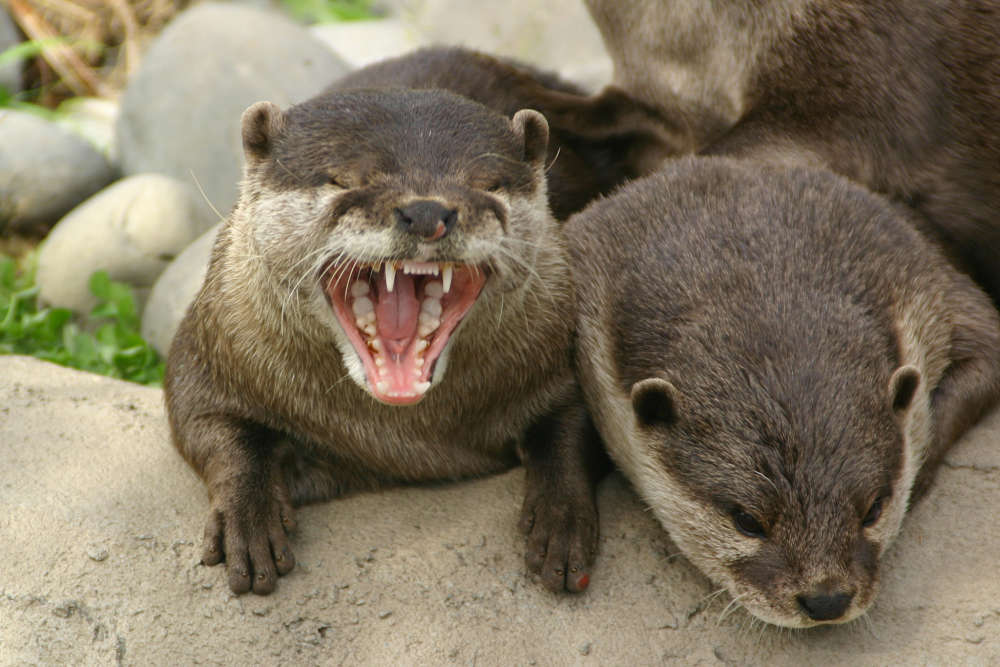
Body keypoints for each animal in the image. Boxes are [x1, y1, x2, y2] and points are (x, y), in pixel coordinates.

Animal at [164, 86, 609, 596]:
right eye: (341, 180)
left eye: (489, 185)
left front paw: (562, 520)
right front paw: (248, 521)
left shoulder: (560, 353)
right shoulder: (209, 352)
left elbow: (575, 425)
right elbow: (213, 429)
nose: (428, 211)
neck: (401, 439)